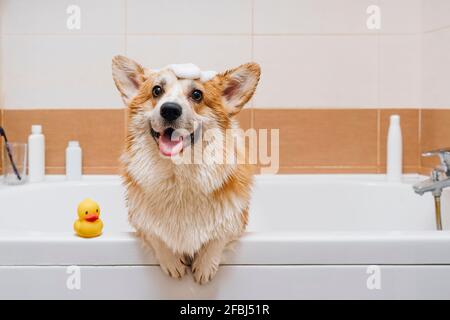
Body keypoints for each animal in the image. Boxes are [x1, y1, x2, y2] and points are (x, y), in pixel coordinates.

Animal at [111, 56, 260, 284]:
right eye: (156, 90)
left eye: (197, 95)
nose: (170, 109)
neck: (178, 176)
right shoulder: (139, 220)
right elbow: (155, 234)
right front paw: (172, 263)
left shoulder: (237, 220)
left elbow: (219, 235)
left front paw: (204, 266)